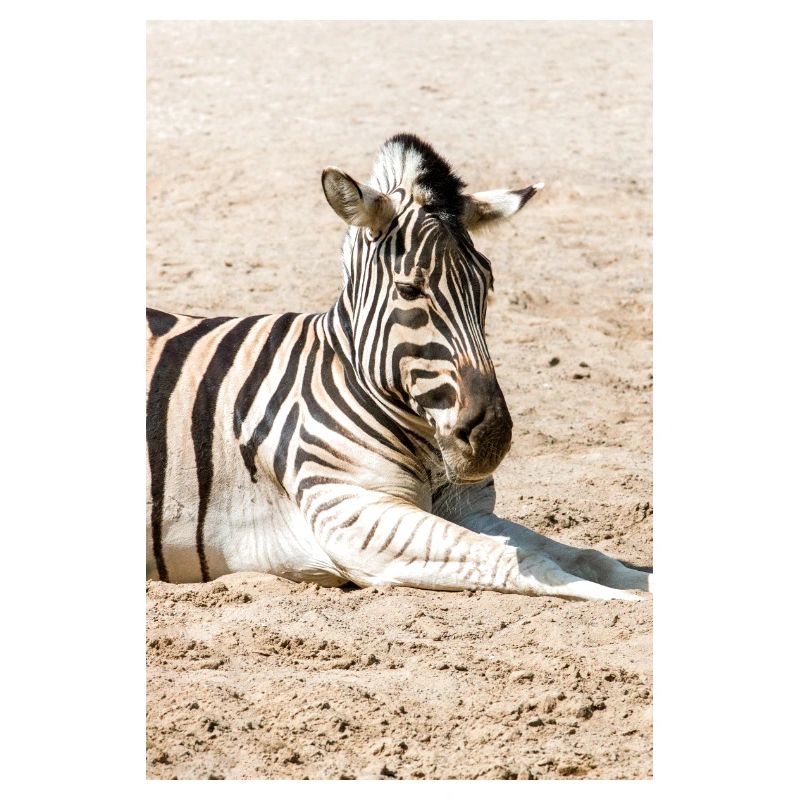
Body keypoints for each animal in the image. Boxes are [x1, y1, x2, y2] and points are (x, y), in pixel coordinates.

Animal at [146, 132, 652, 601]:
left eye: (487, 284)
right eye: (410, 290)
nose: (492, 437)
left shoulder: (470, 510)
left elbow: (586, 555)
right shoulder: (353, 516)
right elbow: (522, 560)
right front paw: (621, 602)